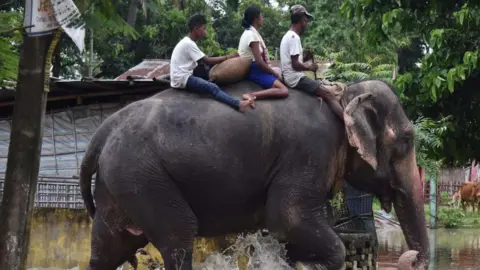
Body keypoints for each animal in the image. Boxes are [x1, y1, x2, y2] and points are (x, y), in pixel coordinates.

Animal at [79, 79, 432, 268]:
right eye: (406, 140)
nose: (411, 256)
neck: (343, 94)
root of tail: (102, 132)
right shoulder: (309, 152)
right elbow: (288, 218)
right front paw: (308, 264)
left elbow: (289, 231)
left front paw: (297, 261)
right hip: (142, 177)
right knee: (178, 235)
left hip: (120, 182)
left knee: (108, 248)